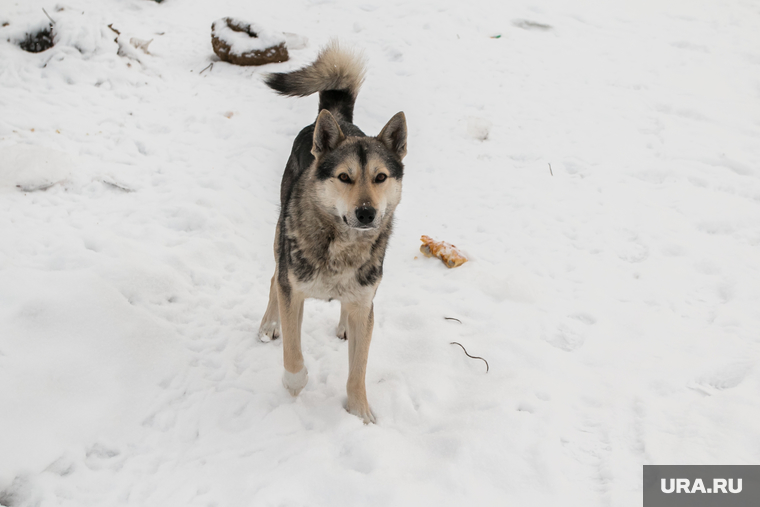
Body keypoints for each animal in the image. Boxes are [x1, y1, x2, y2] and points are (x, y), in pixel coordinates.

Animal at [256, 41, 410, 424]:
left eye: (380, 177)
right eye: (344, 177)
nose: (367, 213)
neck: (341, 245)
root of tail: (337, 119)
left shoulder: (366, 305)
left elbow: (358, 370)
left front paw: (360, 413)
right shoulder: (293, 293)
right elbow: (293, 354)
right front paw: (295, 385)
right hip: (280, 241)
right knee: (273, 277)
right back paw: (269, 324)